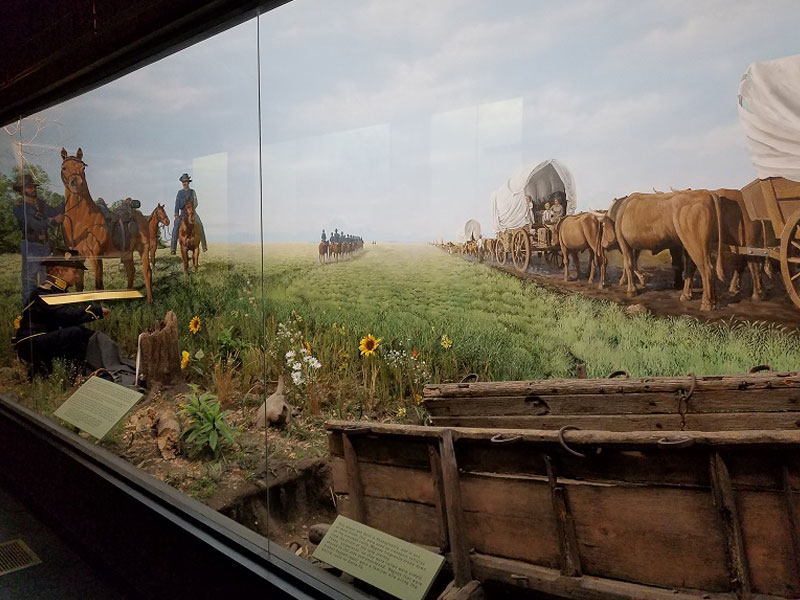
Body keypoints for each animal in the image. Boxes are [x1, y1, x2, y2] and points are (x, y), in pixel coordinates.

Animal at [60, 148, 154, 302]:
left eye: (83, 167)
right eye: (64, 167)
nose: (76, 183)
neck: (81, 221)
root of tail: (141, 215)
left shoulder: (95, 257)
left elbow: (98, 286)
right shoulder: (77, 257)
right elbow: (79, 286)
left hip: (143, 249)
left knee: (147, 271)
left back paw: (150, 300)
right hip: (127, 253)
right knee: (131, 271)